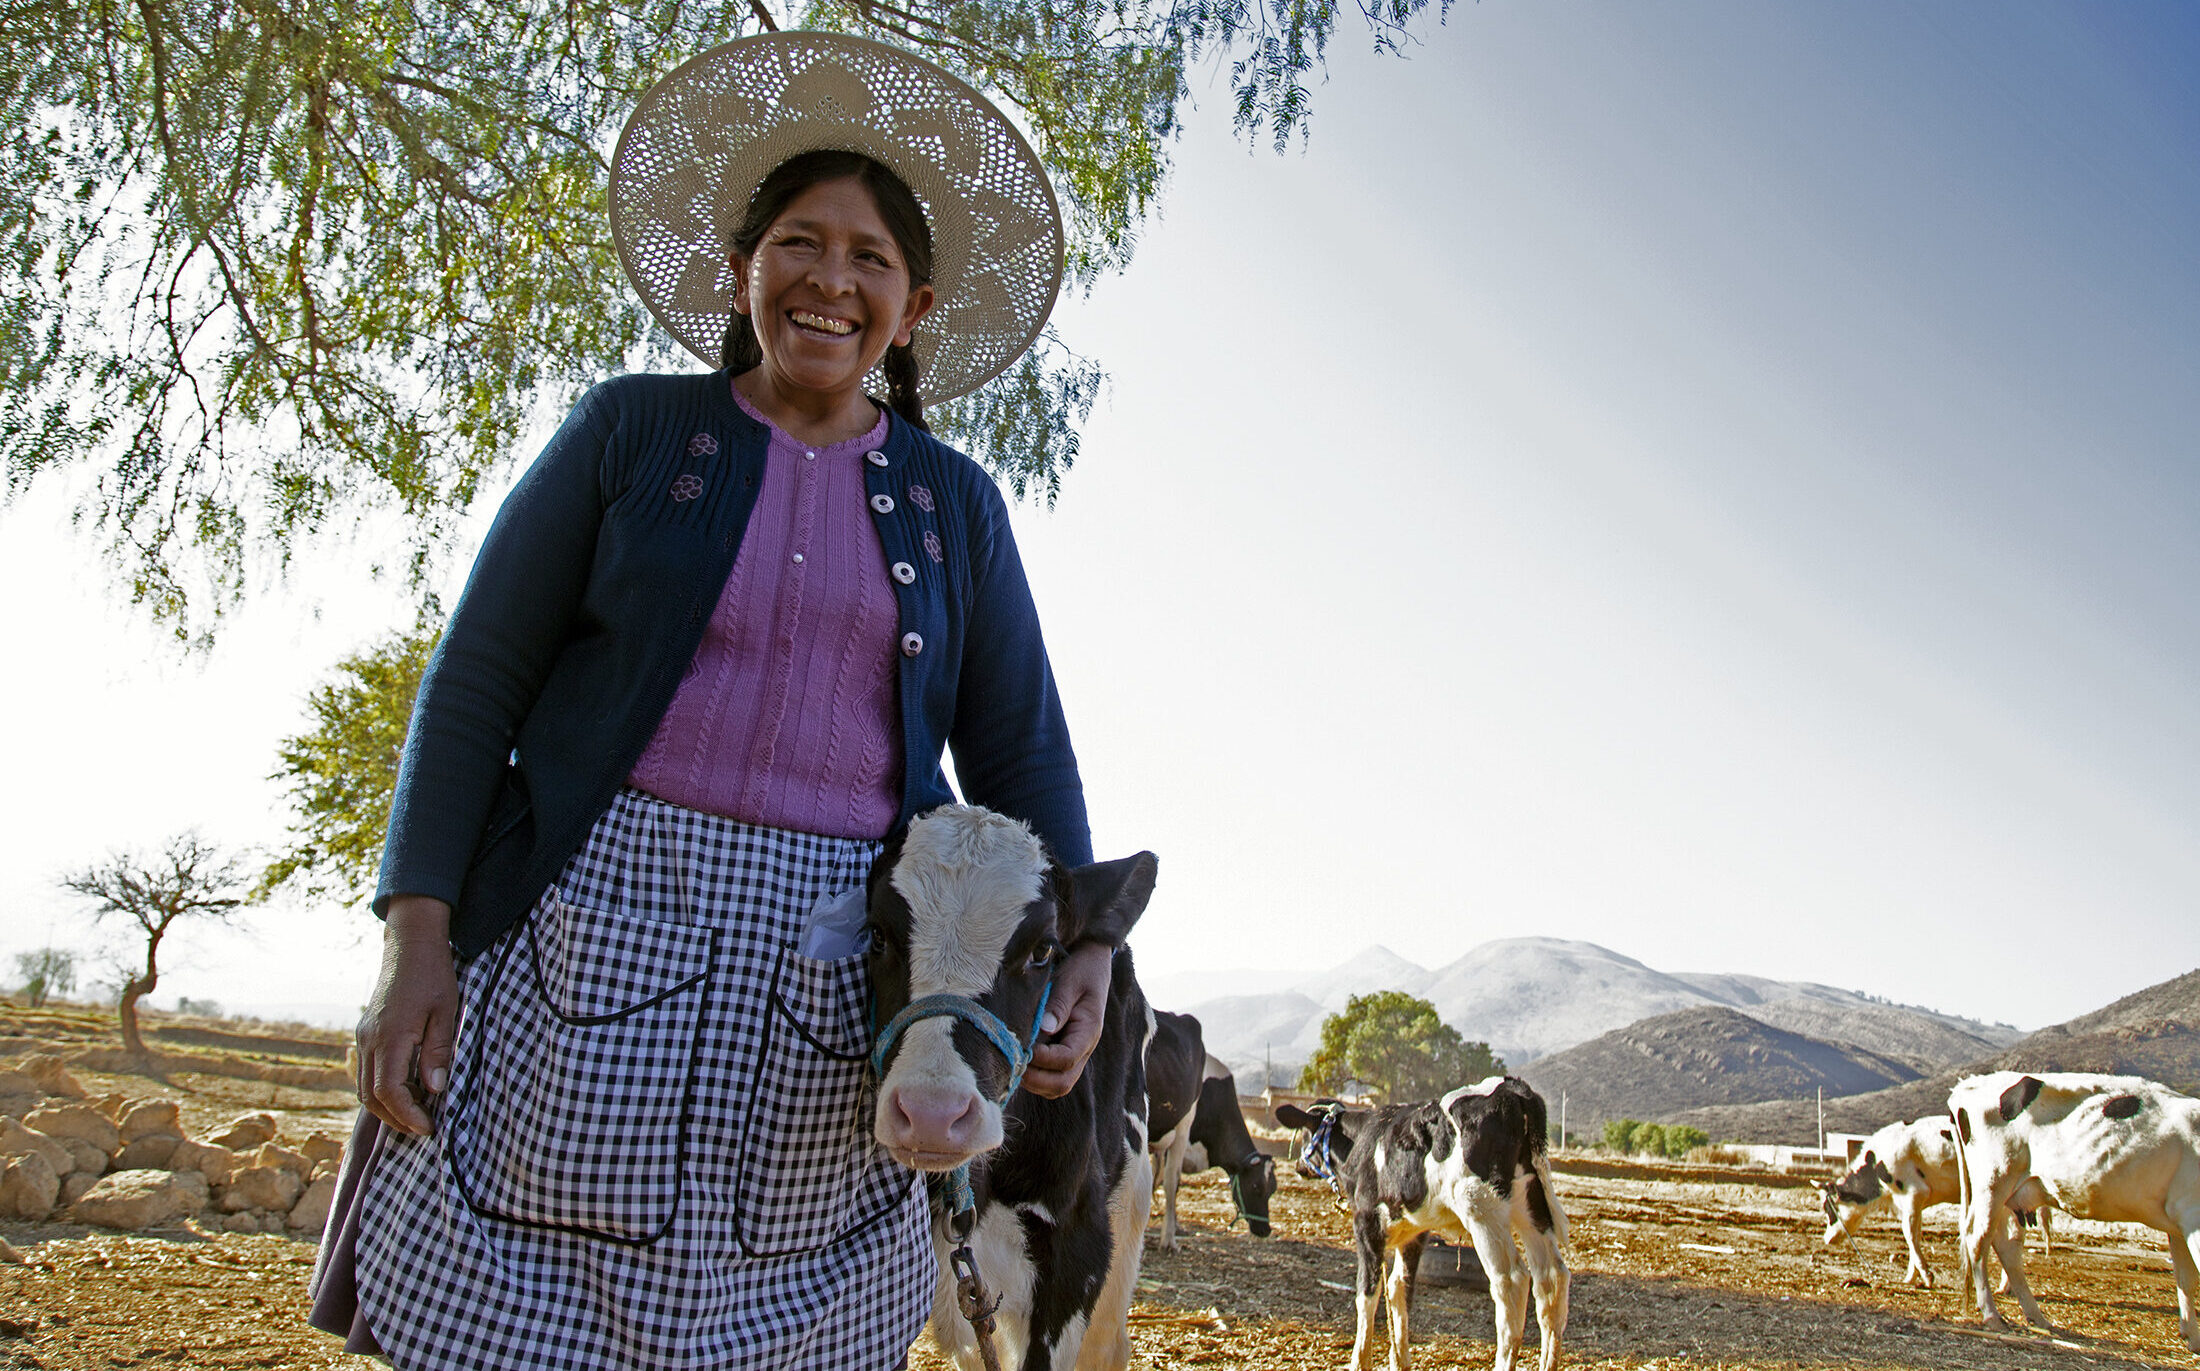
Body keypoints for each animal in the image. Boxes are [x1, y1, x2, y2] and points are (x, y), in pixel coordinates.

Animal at [1144, 1007, 1284, 1258]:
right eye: (1256, 1187)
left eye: (1273, 1189)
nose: (1264, 1229)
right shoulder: (1180, 1132)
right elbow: (1170, 1182)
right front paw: (1169, 1233)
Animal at [1812, 1109, 2050, 1293]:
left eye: (1828, 1209)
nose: (1826, 1239)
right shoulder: (1913, 1203)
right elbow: (1914, 1234)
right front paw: (1911, 1277)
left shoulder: (1912, 1193)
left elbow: (1909, 1234)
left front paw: (1927, 1276)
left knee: (2015, 1235)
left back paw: (2005, 1286)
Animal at [1953, 1069, 2200, 1346]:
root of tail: (1970, 1084)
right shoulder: (2193, 1217)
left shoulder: (2181, 1222)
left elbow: (2186, 1279)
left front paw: (2192, 1336)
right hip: (1994, 1181)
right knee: (1977, 1240)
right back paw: (1992, 1315)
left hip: (2011, 1192)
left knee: (2007, 1246)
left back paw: (2036, 1317)